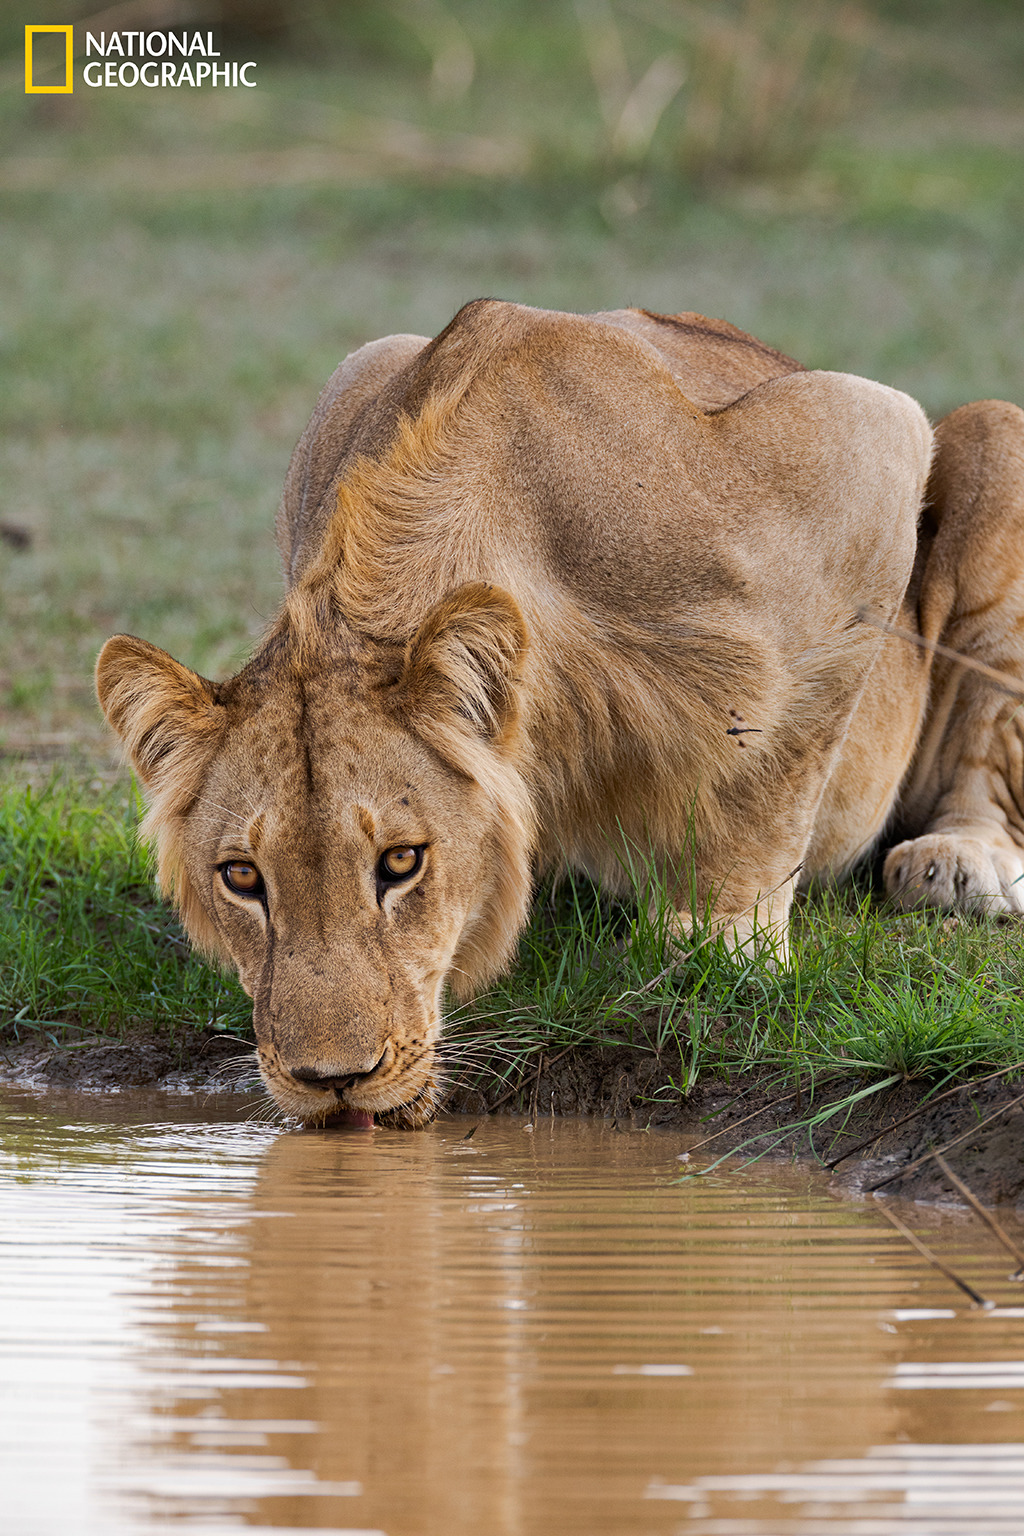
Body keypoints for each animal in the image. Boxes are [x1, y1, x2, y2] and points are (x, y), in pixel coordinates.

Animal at [95, 300, 1024, 1127]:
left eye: (401, 863)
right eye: (242, 878)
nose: (331, 1081)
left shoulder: (867, 438)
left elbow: (778, 766)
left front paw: (722, 944)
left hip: (995, 438)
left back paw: (959, 862)